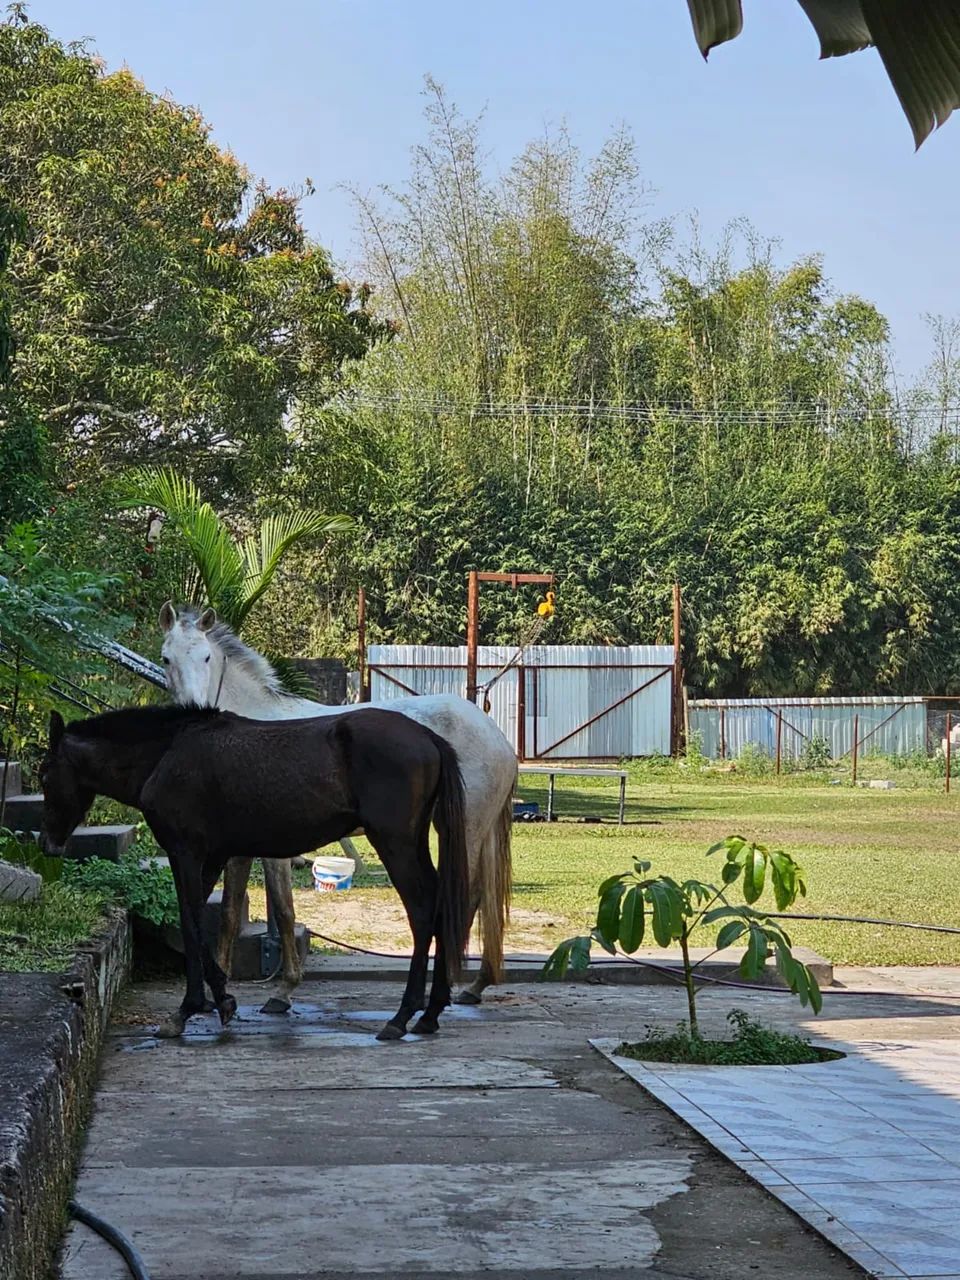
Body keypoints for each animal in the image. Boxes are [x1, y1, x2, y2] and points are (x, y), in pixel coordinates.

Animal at [39, 705, 470, 1041]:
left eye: (44, 775)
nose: (47, 844)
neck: (166, 754)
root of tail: (428, 738)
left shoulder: (185, 853)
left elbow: (191, 923)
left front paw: (199, 1006)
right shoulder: (212, 858)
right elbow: (200, 922)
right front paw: (209, 1001)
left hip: (395, 843)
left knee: (421, 911)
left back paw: (402, 1017)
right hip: (413, 843)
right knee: (439, 907)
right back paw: (431, 1014)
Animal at [159, 602, 516, 1010]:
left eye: (206, 656)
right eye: (166, 657)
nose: (193, 710)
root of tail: (498, 738)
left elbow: (283, 910)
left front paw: (284, 991)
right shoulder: (236, 846)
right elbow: (230, 912)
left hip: (463, 829)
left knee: (466, 896)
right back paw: (475, 985)